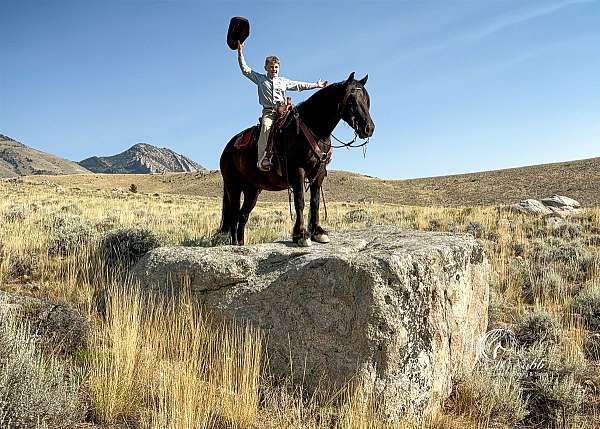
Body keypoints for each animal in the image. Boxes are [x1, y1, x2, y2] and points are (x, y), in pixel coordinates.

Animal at [218, 72, 372, 246]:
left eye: (366, 100)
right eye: (351, 99)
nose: (369, 128)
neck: (314, 129)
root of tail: (228, 147)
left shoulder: (318, 173)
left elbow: (315, 202)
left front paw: (318, 232)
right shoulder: (298, 171)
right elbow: (300, 201)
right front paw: (301, 234)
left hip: (252, 190)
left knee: (243, 215)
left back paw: (240, 243)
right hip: (233, 186)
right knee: (233, 214)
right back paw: (234, 243)